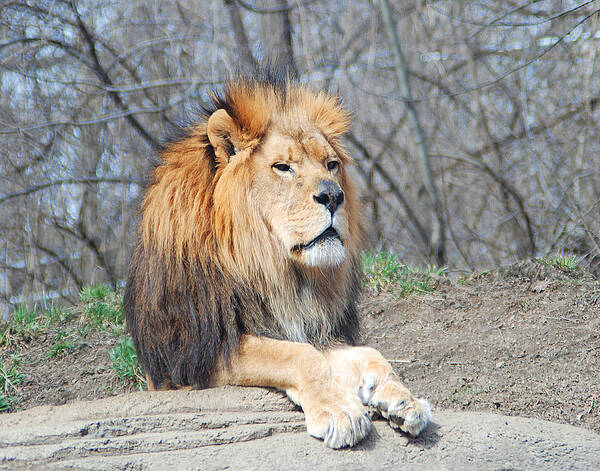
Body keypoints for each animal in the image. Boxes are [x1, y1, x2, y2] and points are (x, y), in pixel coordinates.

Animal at [124, 68, 428, 448]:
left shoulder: (312, 328)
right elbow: (297, 355)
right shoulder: (196, 356)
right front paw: (338, 411)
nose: (333, 195)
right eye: (282, 167)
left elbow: (368, 354)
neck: (272, 268)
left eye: (331, 164)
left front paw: (402, 399)